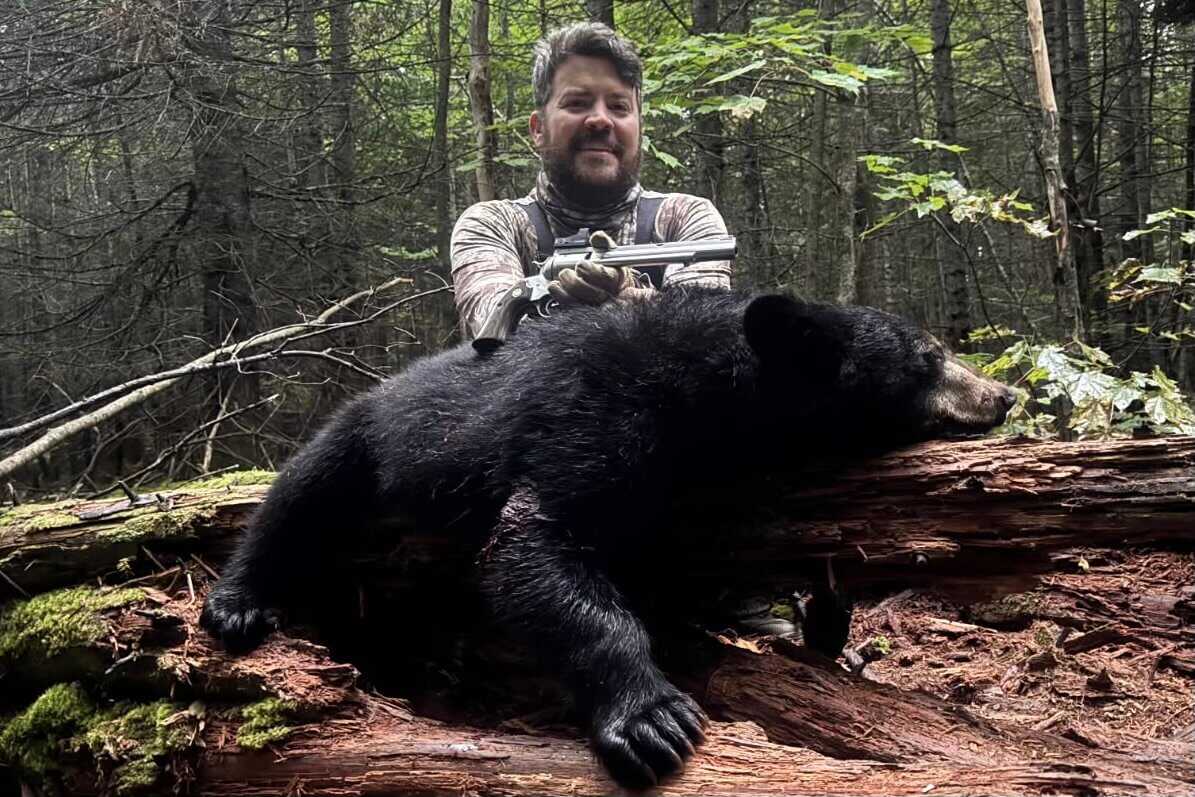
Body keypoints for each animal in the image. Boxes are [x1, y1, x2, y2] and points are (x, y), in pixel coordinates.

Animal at [201, 288, 1016, 789]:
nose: (1003, 393)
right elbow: (532, 547)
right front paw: (653, 717)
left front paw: (825, 615)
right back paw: (238, 600)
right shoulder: (592, 420)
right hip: (368, 434)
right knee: (301, 490)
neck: (704, 386)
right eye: (928, 355)